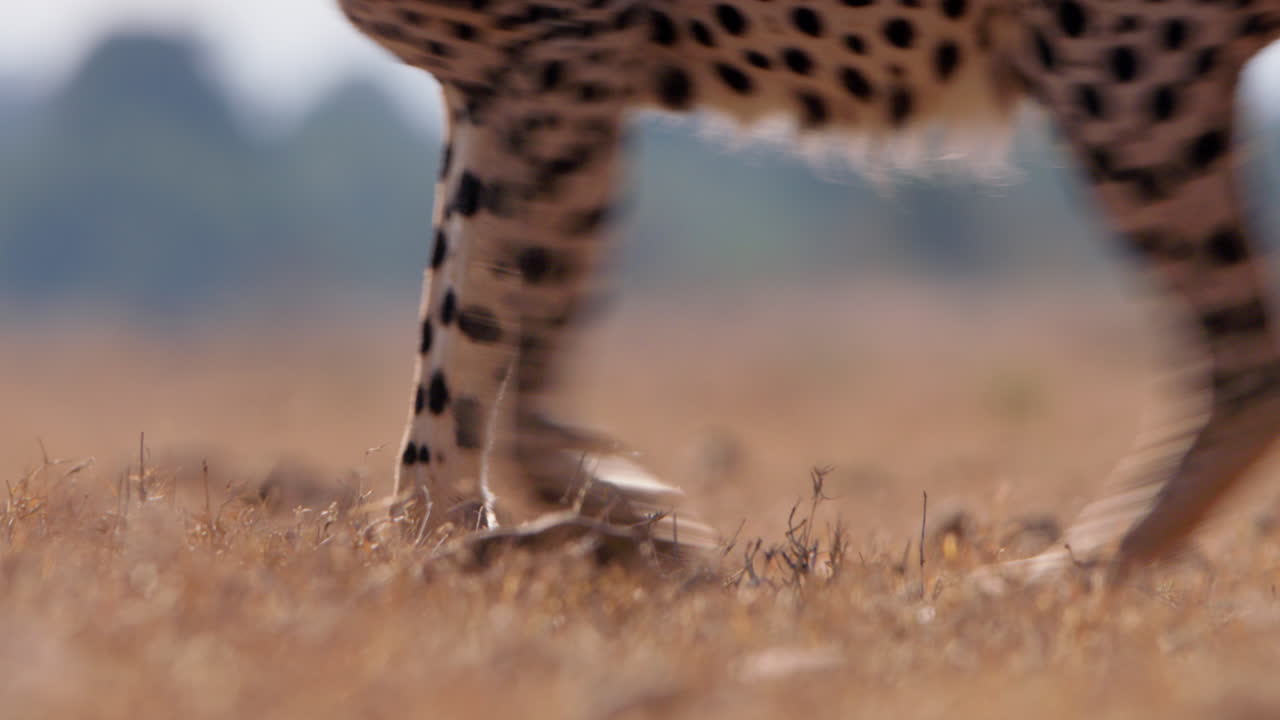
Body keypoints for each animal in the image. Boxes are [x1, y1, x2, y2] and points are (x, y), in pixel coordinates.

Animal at [339, 0, 1280, 576]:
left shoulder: (560, 63)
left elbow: (483, 347)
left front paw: (467, 545)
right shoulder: (519, 87)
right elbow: (482, 349)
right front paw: (586, 525)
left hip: (1125, 59)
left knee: (1248, 353)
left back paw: (1055, 579)